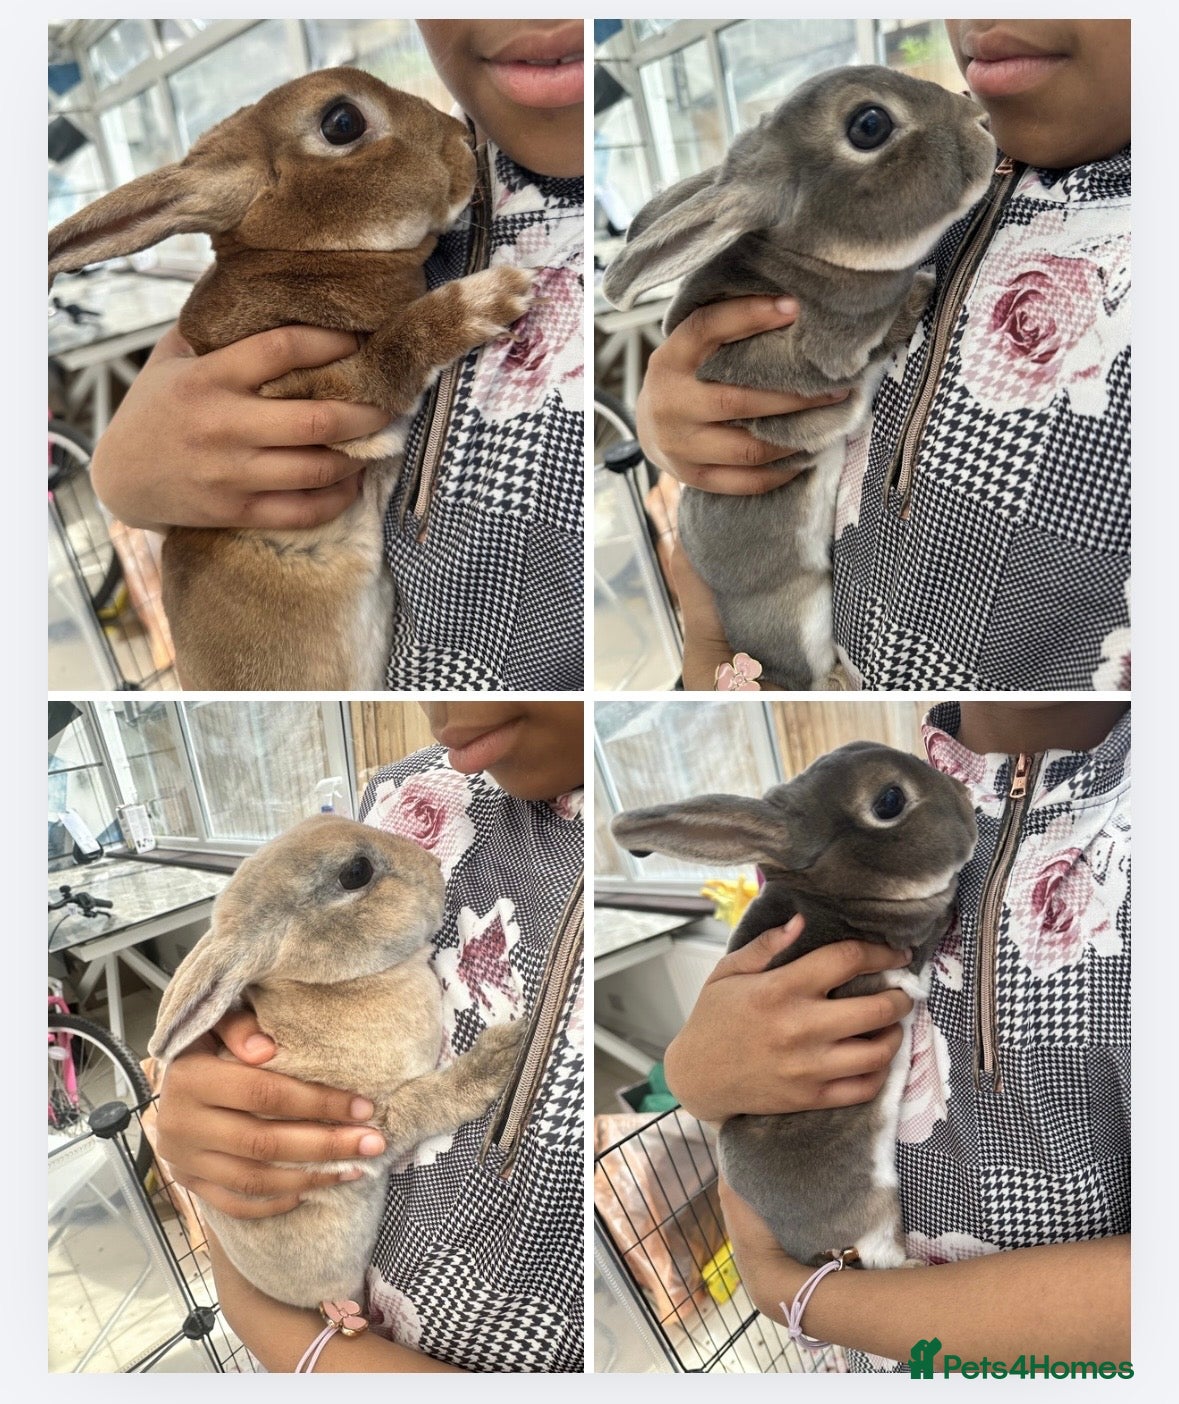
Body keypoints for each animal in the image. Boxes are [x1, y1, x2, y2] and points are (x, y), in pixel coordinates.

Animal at [48, 68, 533, 690]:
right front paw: (492, 297)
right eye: (342, 122)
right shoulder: (322, 397)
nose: (464, 142)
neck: (296, 257)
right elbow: (391, 354)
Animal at [147, 813, 524, 1307]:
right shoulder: (368, 1128)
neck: (333, 987)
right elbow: (427, 1101)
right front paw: (503, 1052)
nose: (432, 866)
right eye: (356, 872)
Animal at [602, 66, 996, 688]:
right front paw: (919, 292)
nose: (981, 121)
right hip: (801, 619)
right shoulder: (817, 362)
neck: (803, 259)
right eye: (869, 125)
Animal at [610, 740, 977, 1269]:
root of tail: (806, 1248)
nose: (966, 798)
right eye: (889, 801)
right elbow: (922, 954)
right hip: (877, 1207)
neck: (830, 895)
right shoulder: (904, 955)